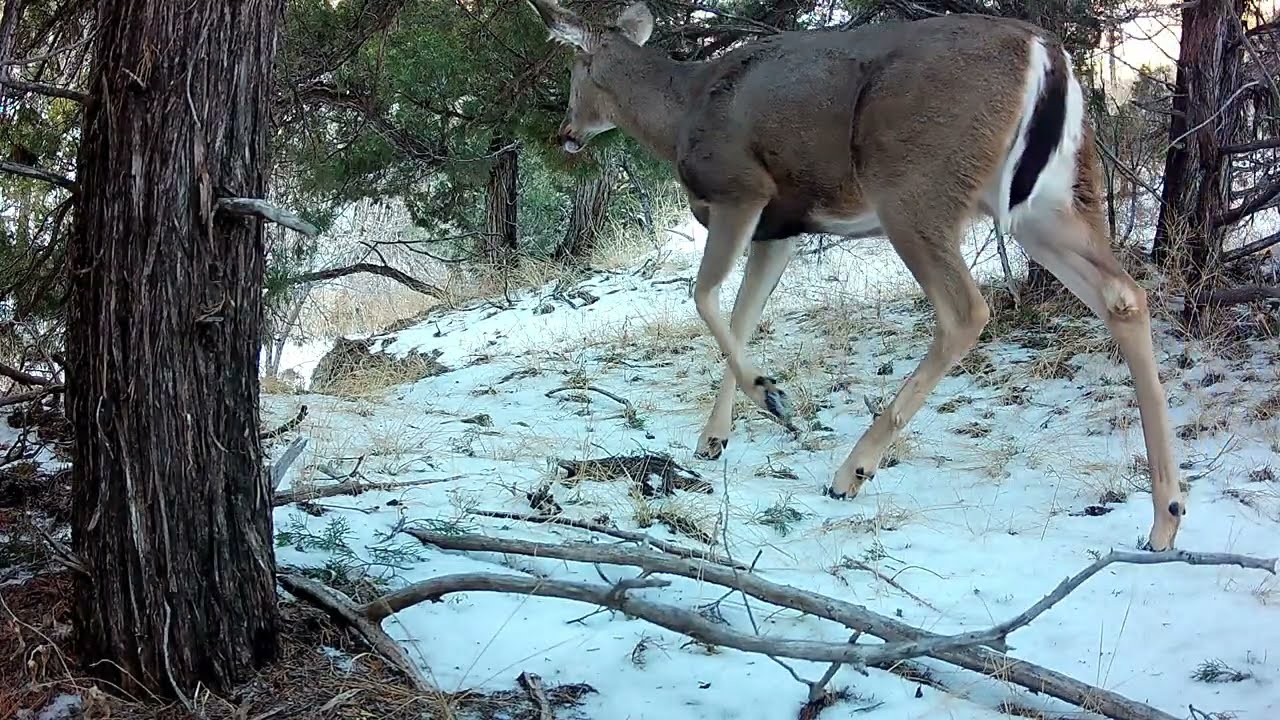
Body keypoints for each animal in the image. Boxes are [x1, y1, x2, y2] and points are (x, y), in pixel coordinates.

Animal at [525, 0, 1186, 551]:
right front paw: (715, 437)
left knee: (966, 311)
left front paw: (772, 397)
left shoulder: (741, 190)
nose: (565, 134)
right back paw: (1165, 518)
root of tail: (1047, 54)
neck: (682, 110)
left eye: (576, 70)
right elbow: (743, 312)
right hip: (1051, 200)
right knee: (1124, 295)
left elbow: (704, 294)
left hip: (914, 188)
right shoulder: (781, 230)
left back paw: (852, 470)